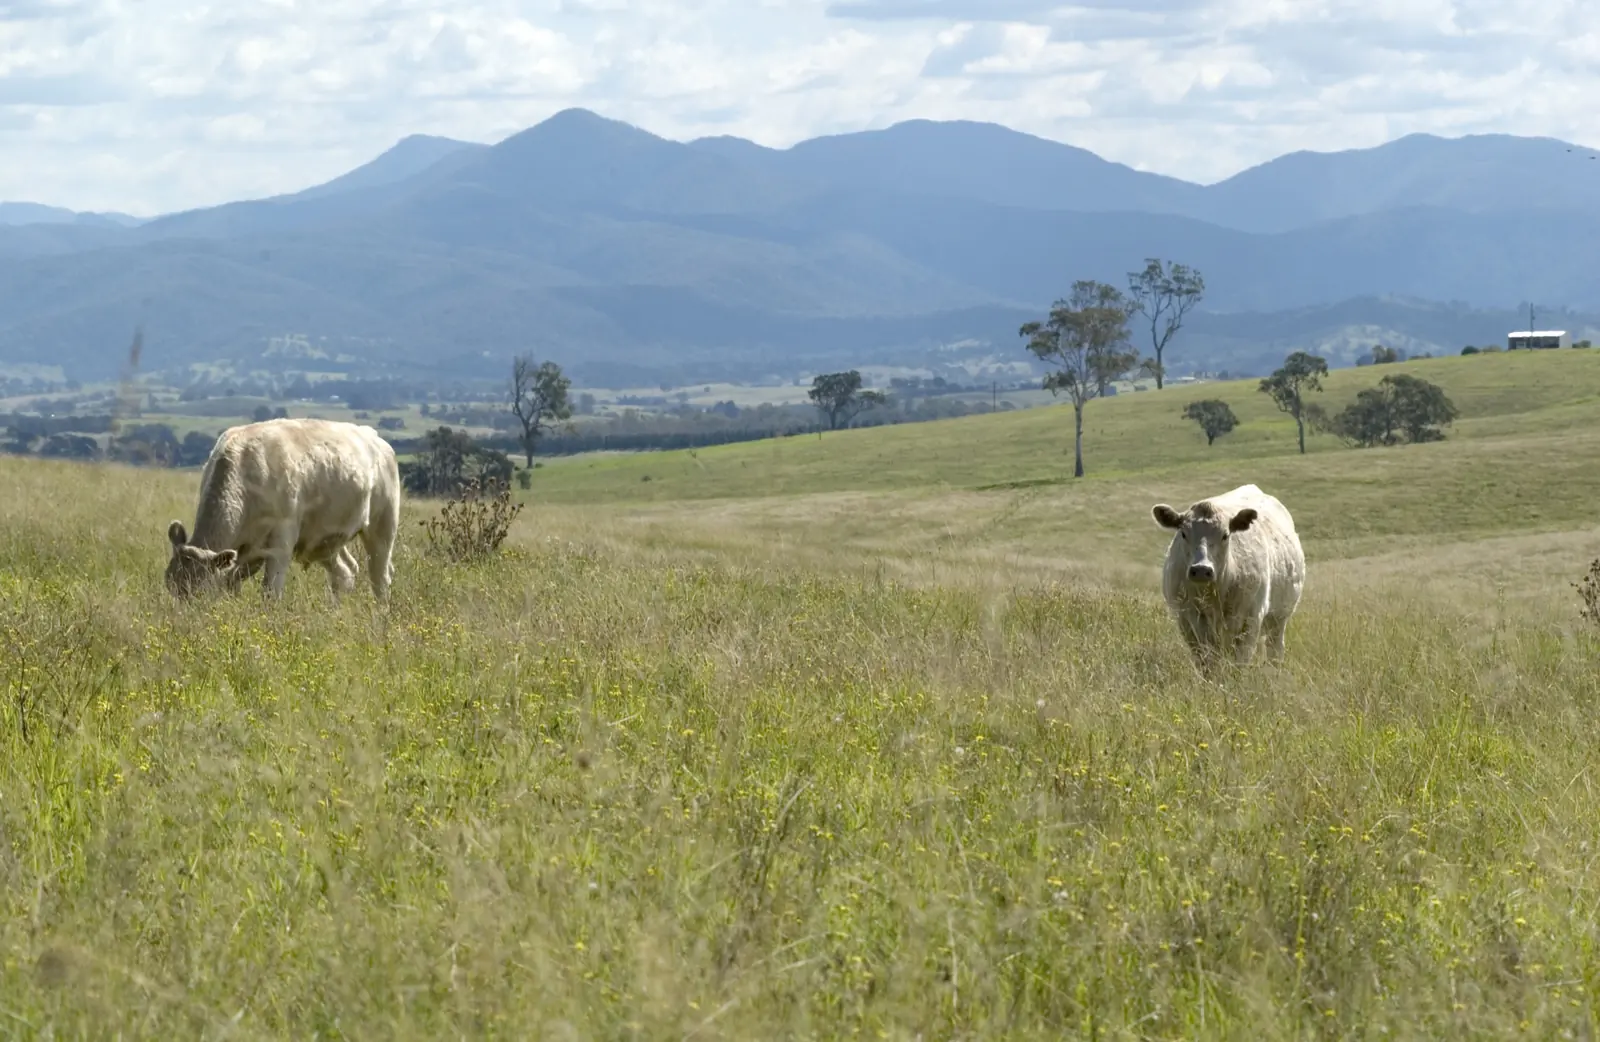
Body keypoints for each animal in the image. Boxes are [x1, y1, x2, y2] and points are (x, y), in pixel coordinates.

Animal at [164, 417, 401, 602]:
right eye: (170, 586)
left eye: (200, 592)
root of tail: (375, 438)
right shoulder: (247, 552)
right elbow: (232, 585)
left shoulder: (281, 542)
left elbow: (270, 593)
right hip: (326, 538)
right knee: (345, 572)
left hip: (382, 526)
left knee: (380, 576)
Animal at [1150, 483, 1305, 672]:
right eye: (1183, 534)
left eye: (1225, 535)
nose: (1201, 569)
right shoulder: (1186, 619)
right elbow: (1205, 660)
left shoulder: (1251, 619)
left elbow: (1240, 660)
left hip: (1279, 618)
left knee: (1274, 650)